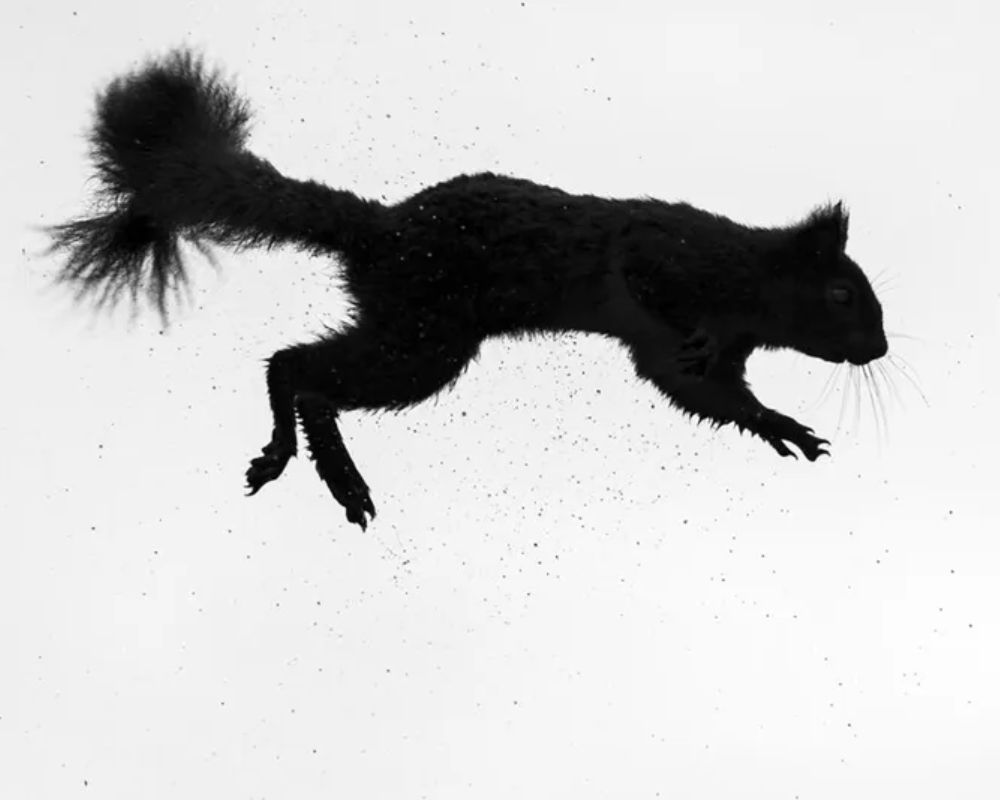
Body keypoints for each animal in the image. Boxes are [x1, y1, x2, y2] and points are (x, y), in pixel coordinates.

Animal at [48, 48, 892, 524]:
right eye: (842, 294)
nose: (879, 348)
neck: (746, 278)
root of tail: (379, 231)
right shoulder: (666, 255)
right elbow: (652, 293)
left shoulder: (684, 360)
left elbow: (707, 392)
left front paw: (783, 425)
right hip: (424, 337)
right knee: (296, 368)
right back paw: (319, 467)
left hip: (412, 330)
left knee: (308, 376)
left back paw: (323, 471)